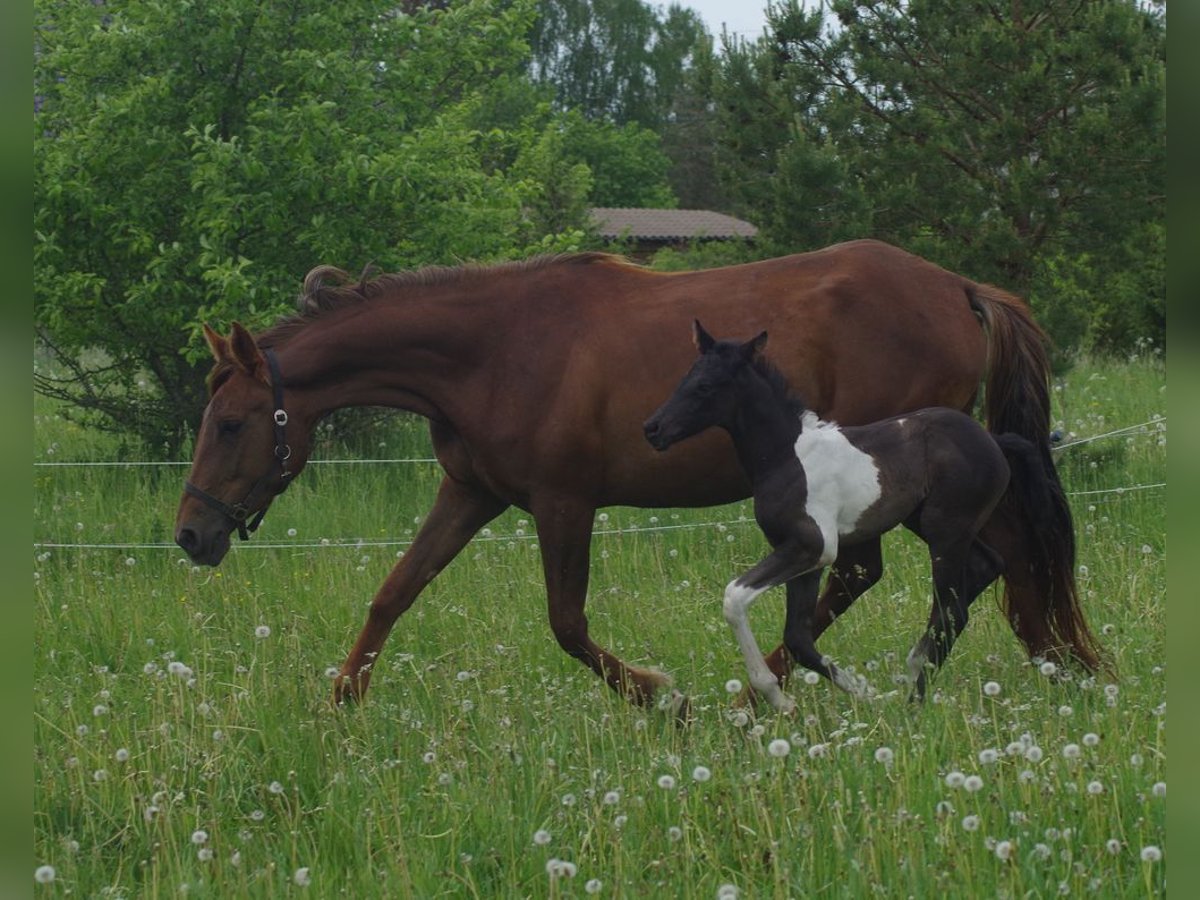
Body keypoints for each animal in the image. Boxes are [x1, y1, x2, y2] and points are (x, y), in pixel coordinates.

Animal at [648, 321, 1041, 710]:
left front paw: (778, 695)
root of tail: (994, 440)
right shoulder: (805, 558)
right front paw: (860, 696)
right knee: (984, 568)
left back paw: (913, 700)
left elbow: (734, 598)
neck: (787, 458)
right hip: (931, 524)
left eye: (705, 386)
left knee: (951, 611)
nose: (652, 429)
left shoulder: (812, 547)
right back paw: (912, 672)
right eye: (685, 377)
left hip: (946, 530)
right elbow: (798, 639)